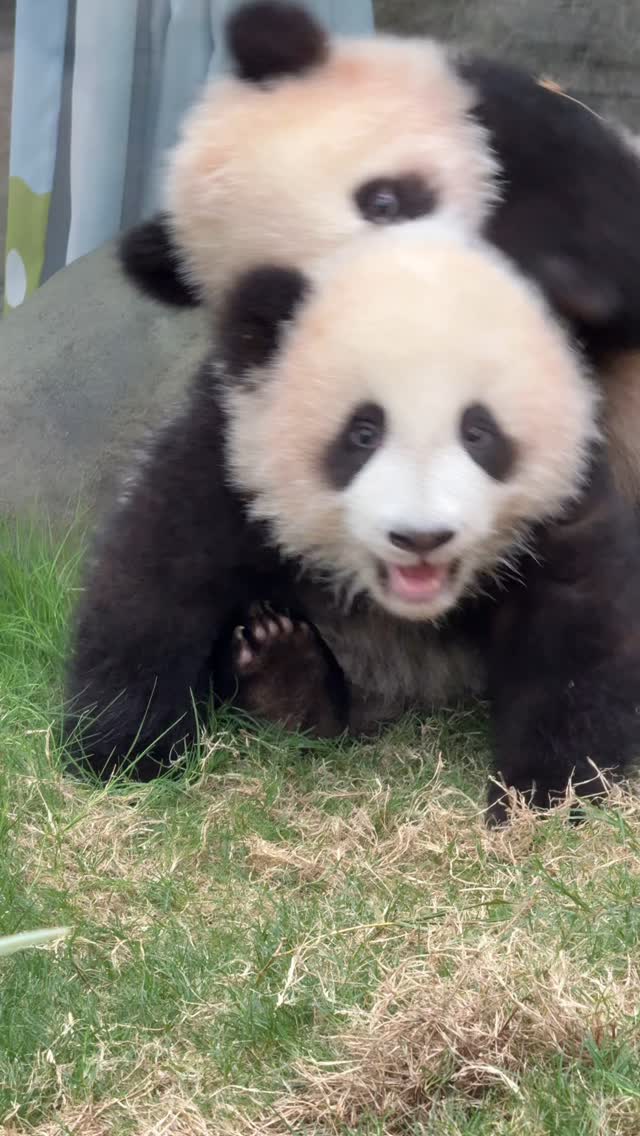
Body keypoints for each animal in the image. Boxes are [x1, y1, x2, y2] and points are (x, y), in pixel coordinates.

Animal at [65, 220, 640, 821]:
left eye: (478, 431)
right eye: (363, 431)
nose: (420, 537)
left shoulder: (563, 495)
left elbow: (575, 624)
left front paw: (545, 798)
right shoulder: (230, 450)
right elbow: (158, 574)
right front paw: (123, 757)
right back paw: (282, 674)